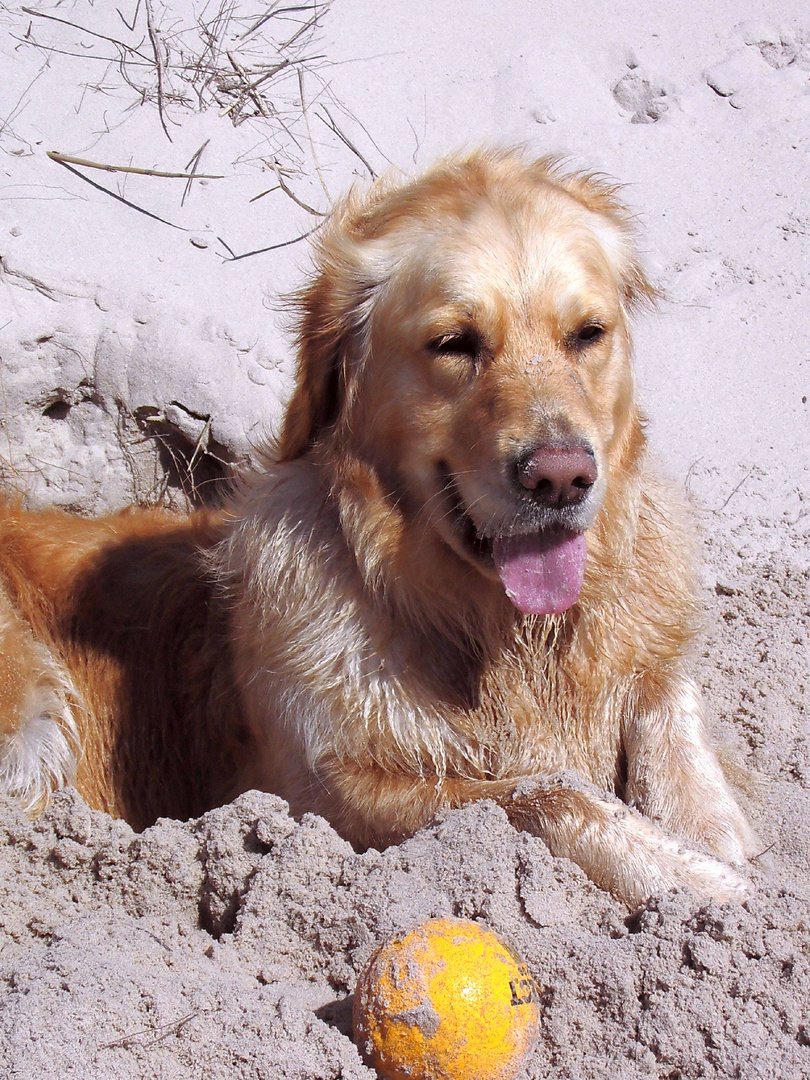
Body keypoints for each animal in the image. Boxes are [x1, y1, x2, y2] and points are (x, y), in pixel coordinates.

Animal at [0, 150, 756, 902]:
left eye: (588, 335)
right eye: (454, 343)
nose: (562, 477)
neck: (499, 631)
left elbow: (671, 709)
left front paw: (714, 841)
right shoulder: (323, 791)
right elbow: (544, 794)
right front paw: (706, 886)